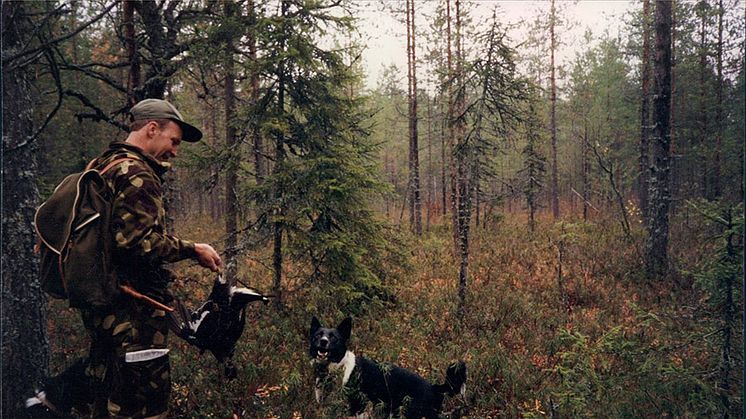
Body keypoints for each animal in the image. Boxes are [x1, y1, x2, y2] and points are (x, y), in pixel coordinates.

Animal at [308, 316, 464, 418]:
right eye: (318, 335)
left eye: (333, 337)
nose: (323, 341)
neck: (339, 366)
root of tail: (434, 388)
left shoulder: (358, 407)